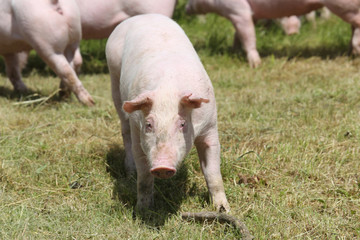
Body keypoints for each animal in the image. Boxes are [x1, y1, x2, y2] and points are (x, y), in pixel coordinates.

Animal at [107, 13, 231, 212]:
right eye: (149, 125)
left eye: (182, 124)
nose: (161, 166)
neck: (168, 89)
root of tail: (142, 16)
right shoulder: (137, 127)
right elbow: (144, 176)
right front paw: (142, 211)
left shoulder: (210, 125)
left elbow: (213, 172)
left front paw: (223, 209)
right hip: (114, 78)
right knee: (124, 130)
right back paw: (130, 172)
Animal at [186, 0, 360, 67]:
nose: (187, 9)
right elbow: (238, 34)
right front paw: (234, 51)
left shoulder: (238, 11)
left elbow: (248, 35)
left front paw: (256, 65)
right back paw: (350, 52)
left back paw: (356, 52)